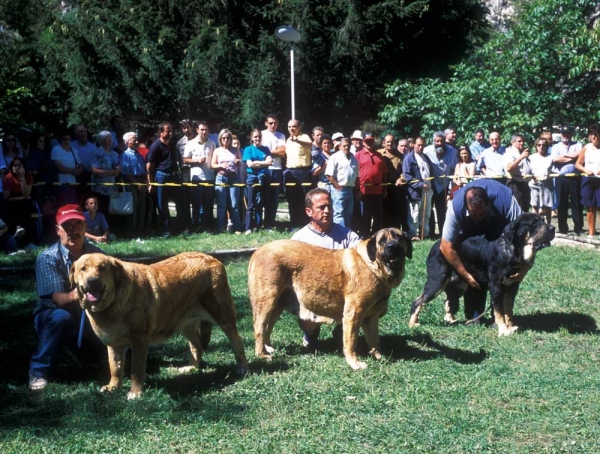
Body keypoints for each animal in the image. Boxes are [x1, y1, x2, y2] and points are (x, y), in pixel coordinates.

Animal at [70, 254, 248, 400]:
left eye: (102, 268)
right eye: (83, 269)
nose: (92, 281)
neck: (112, 304)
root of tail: (213, 259)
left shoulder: (139, 342)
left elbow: (136, 370)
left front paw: (135, 393)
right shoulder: (114, 344)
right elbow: (115, 367)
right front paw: (113, 386)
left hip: (223, 316)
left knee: (236, 341)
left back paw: (242, 368)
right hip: (186, 325)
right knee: (197, 347)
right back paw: (190, 367)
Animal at [248, 229, 412, 370]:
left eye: (398, 237)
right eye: (382, 241)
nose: (392, 247)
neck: (374, 265)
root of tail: (257, 252)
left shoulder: (370, 318)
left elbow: (375, 340)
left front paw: (380, 357)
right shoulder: (353, 315)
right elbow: (351, 342)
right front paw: (355, 364)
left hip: (277, 305)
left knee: (268, 327)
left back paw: (268, 348)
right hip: (266, 302)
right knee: (259, 328)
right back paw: (262, 354)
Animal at [410, 211, 556, 336]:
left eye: (542, 220)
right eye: (534, 223)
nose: (553, 228)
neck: (512, 251)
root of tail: (437, 245)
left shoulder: (512, 287)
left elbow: (508, 310)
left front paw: (510, 327)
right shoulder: (496, 286)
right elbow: (499, 311)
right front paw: (503, 330)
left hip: (460, 285)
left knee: (448, 300)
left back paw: (450, 320)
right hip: (437, 281)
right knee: (417, 301)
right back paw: (412, 324)